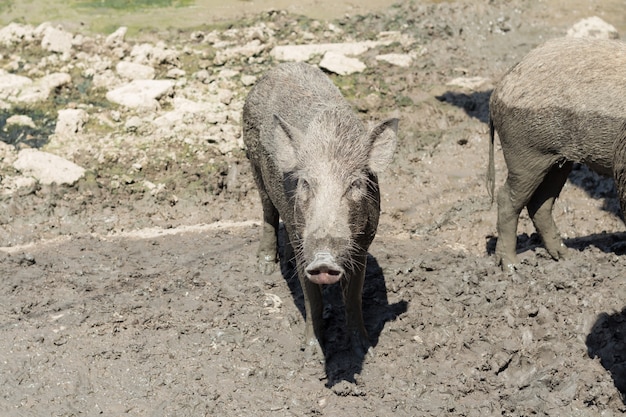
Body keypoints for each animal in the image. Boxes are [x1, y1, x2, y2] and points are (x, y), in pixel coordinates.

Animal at [241, 61, 398, 358]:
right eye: (305, 183)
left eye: (355, 184)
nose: (324, 260)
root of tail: (280, 67)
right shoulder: (301, 240)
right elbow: (310, 297)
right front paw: (311, 355)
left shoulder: (363, 244)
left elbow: (353, 297)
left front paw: (364, 350)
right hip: (251, 158)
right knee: (267, 210)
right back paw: (264, 267)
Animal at [486, 35, 624, 270]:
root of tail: (497, 90)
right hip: (525, 154)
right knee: (507, 198)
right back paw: (511, 266)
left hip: (558, 161)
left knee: (539, 204)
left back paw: (565, 256)